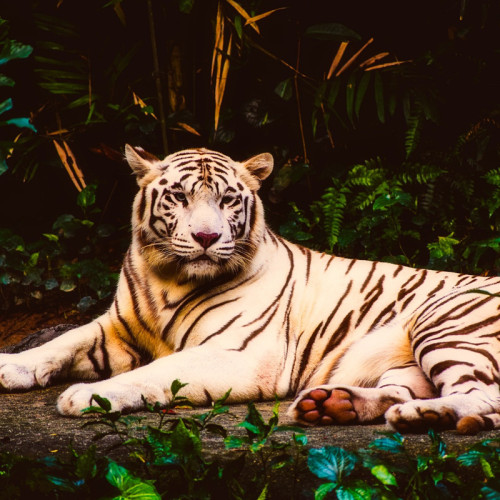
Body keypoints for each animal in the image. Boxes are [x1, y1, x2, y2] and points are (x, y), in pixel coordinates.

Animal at [0, 146, 500, 436]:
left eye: (227, 199)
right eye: (179, 197)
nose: (205, 237)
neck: (168, 277)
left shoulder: (240, 353)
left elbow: (157, 371)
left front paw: (88, 396)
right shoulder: (117, 328)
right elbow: (62, 341)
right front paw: (11, 366)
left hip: (446, 322)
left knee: (484, 398)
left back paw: (429, 416)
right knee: (402, 390)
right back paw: (333, 406)